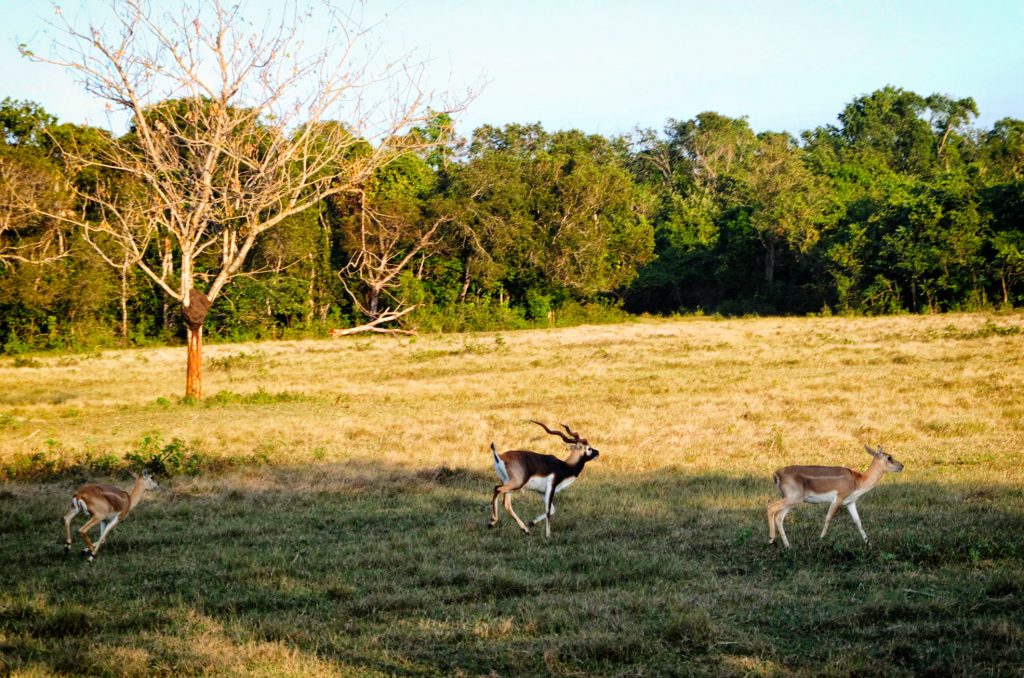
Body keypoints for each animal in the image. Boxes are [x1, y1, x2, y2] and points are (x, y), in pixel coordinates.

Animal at [770, 446, 905, 553]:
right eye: (889, 457)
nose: (902, 466)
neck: (858, 481)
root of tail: (776, 474)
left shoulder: (850, 502)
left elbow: (858, 522)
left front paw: (869, 544)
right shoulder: (838, 498)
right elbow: (828, 518)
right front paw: (820, 540)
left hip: (790, 500)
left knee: (779, 517)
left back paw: (788, 546)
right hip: (793, 498)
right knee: (771, 507)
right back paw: (771, 540)